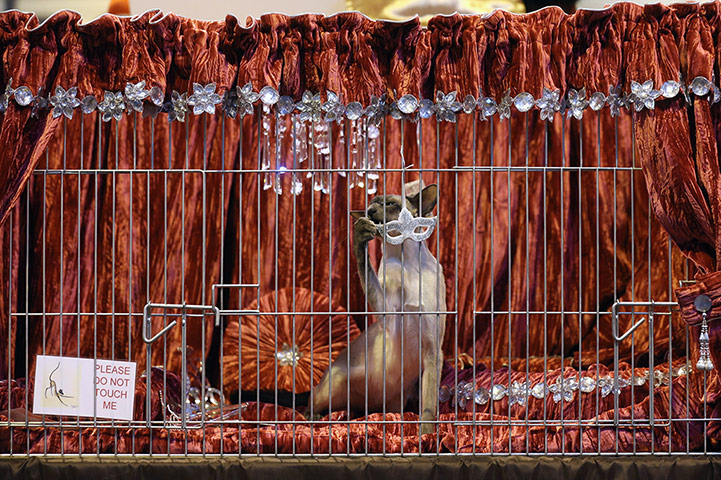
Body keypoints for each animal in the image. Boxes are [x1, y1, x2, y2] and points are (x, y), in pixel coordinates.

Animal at [312, 183, 448, 436]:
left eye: (390, 204)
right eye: (370, 206)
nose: (370, 211)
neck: (404, 262)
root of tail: (370, 406)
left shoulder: (432, 348)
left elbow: (428, 407)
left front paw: (426, 437)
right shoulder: (388, 314)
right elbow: (365, 268)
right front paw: (361, 233)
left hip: (395, 400)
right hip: (334, 383)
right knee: (312, 404)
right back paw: (314, 419)